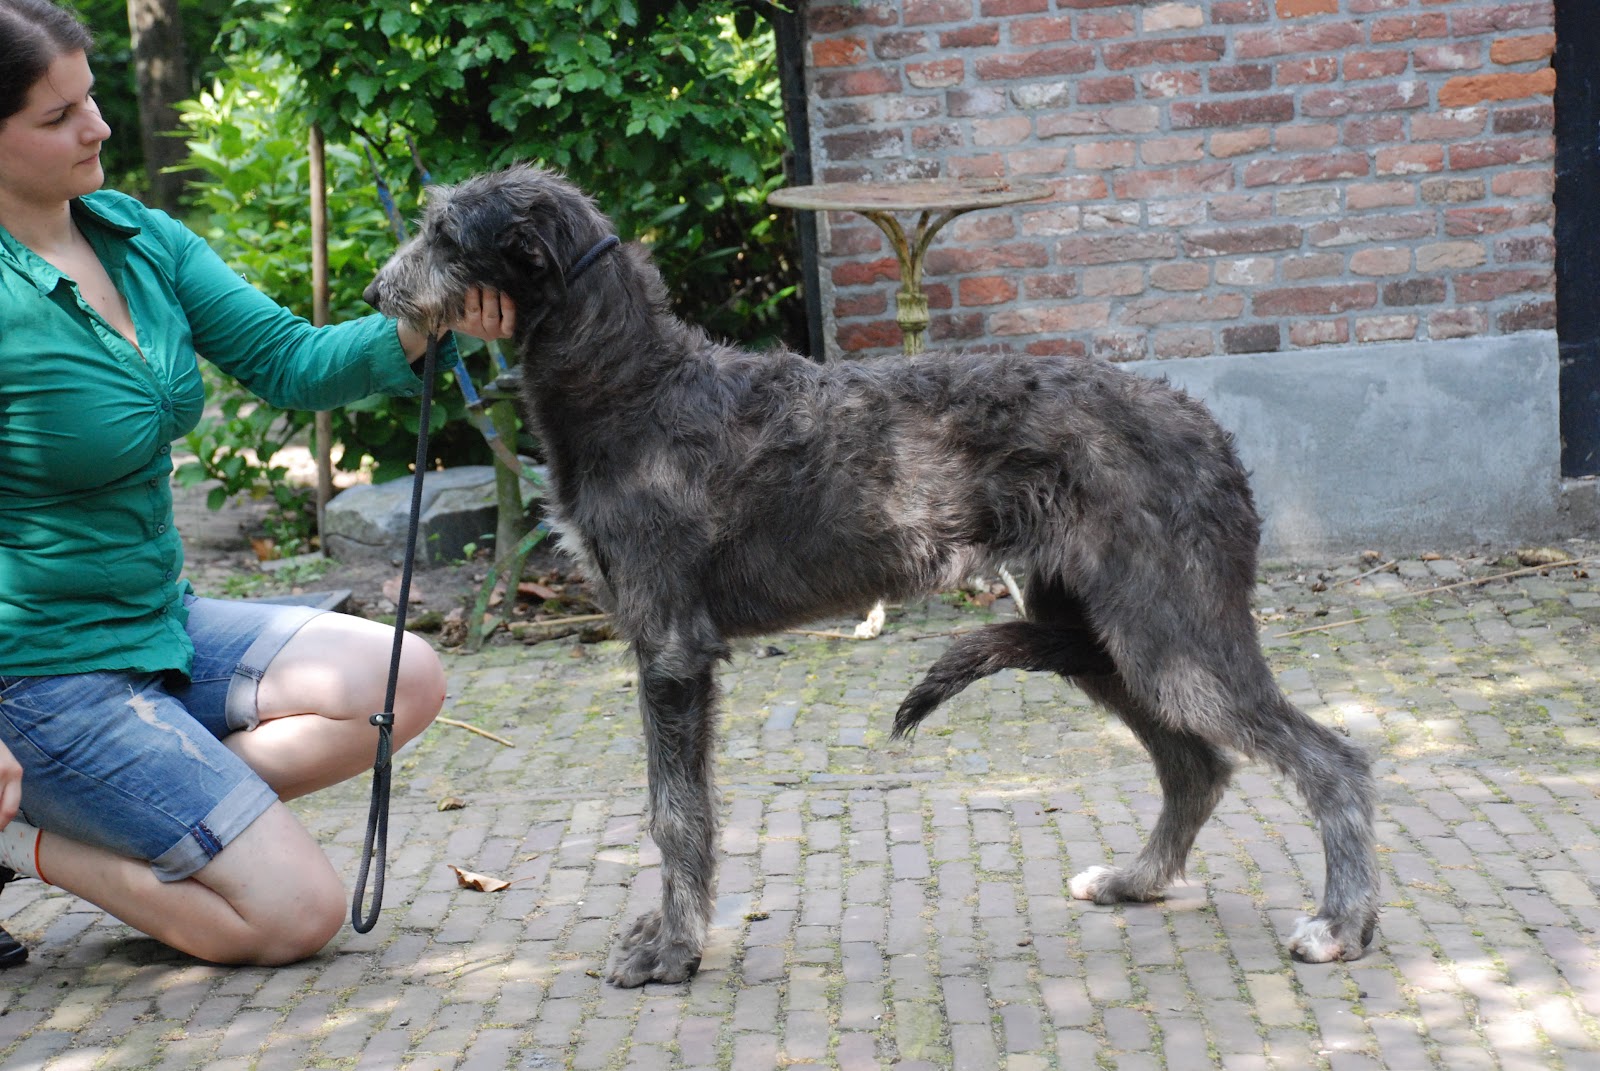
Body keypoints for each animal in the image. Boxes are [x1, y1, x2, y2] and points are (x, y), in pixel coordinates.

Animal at [368, 164, 1382, 986]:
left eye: (444, 232)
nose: (379, 290)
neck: (633, 387)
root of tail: (1209, 427)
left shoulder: (671, 651)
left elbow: (675, 814)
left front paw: (673, 948)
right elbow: (674, 808)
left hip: (1171, 630)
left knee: (1328, 759)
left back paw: (1341, 921)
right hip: (1100, 635)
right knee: (1195, 763)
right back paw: (1136, 877)